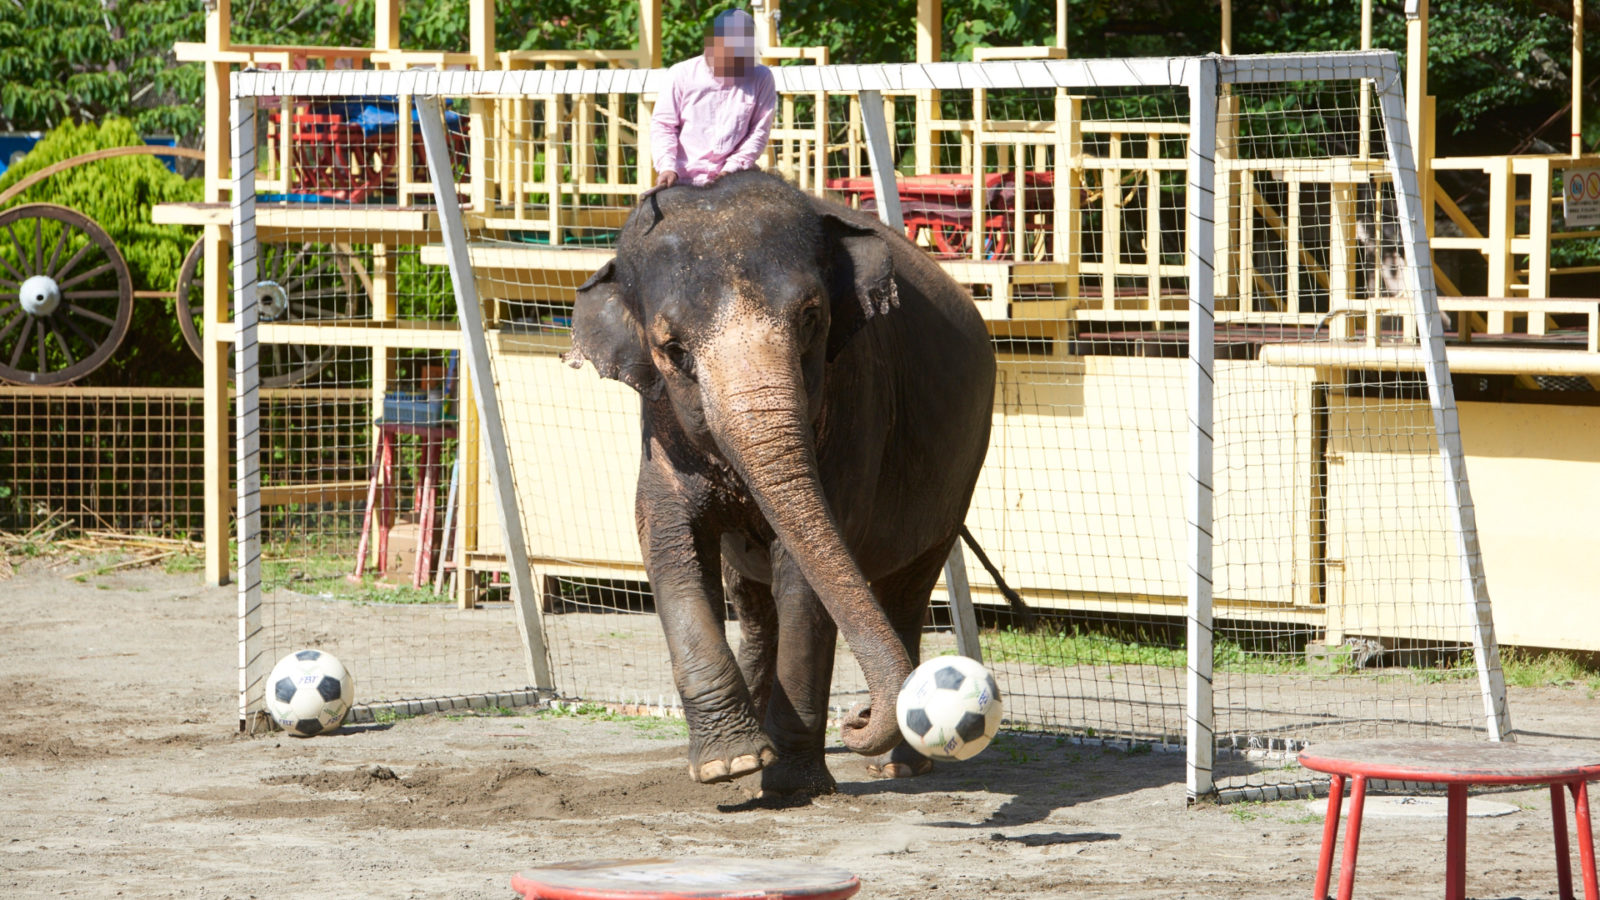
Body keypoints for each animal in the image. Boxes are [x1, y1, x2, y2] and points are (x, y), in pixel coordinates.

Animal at [556, 168, 992, 791]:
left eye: (811, 318)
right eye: (672, 349)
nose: (858, 716)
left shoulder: (855, 403)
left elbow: (805, 575)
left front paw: (791, 786)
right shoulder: (659, 432)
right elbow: (666, 540)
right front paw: (730, 765)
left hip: (961, 473)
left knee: (907, 589)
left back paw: (898, 765)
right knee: (755, 606)